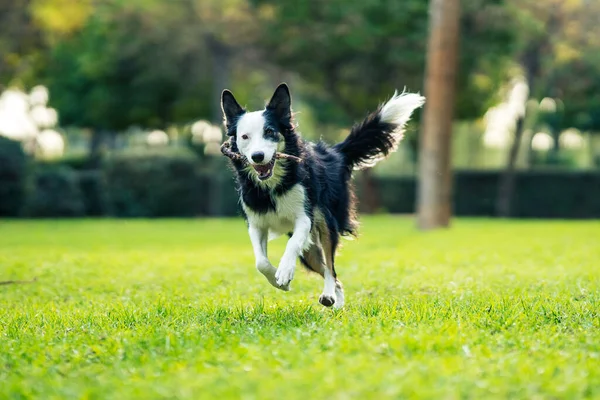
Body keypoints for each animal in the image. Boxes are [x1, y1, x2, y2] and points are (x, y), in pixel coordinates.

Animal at [221, 83, 426, 310]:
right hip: (309, 251)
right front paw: (278, 279)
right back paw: (337, 302)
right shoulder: (256, 224)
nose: (257, 156)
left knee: (330, 267)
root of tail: (334, 152)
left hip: (326, 222)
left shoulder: (304, 218)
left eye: (270, 132)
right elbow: (261, 263)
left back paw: (329, 296)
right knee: (333, 275)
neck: (272, 185)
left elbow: (292, 246)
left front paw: (284, 271)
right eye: (244, 137)